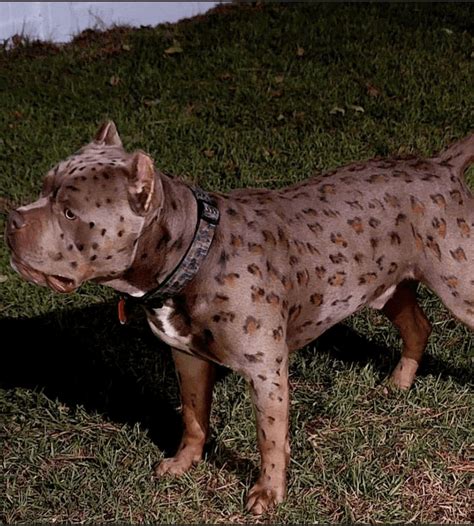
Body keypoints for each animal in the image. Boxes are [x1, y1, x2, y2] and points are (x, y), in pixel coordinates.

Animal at [5, 122, 472, 516]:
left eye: (69, 212)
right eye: (43, 188)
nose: (10, 219)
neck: (195, 251)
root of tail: (441, 164)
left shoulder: (266, 371)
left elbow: (269, 438)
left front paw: (268, 493)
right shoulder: (188, 359)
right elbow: (194, 418)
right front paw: (183, 463)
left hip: (460, 288)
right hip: (386, 288)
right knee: (419, 326)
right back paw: (399, 383)